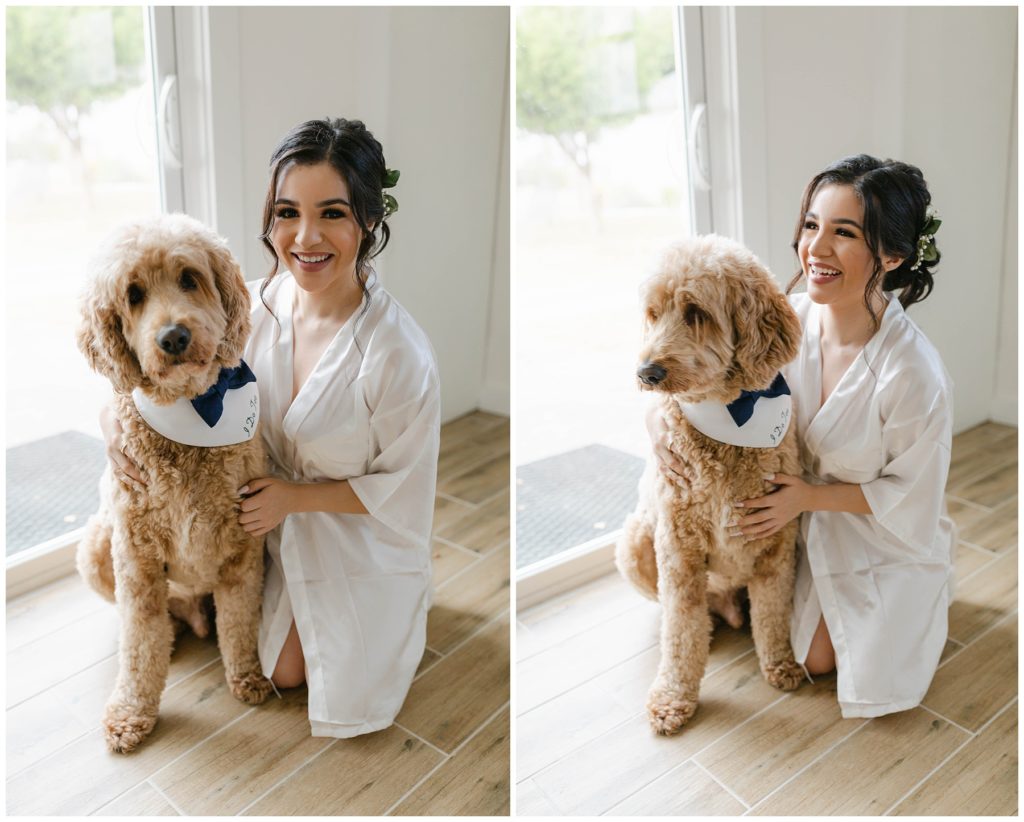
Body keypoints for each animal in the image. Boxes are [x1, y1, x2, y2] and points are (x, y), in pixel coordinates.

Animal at [76, 214, 272, 757]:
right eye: (133, 294)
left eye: (189, 278)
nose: (173, 337)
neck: (193, 415)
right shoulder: (137, 560)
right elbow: (139, 643)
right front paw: (131, 712)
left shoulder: (243, 549)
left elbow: (240, 622)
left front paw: (248, 675)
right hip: (96, 545)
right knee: (153, 621)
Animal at [618, 234, 802, 737]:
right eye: (652, 313)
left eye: (695, 311)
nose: (646, 373)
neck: (728, 422)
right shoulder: (678, 552)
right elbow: (681, 630)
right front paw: (673, 697)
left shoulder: (777, 545)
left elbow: (773, 614)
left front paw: (781, 663)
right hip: (634, 543)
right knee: (682, 613)